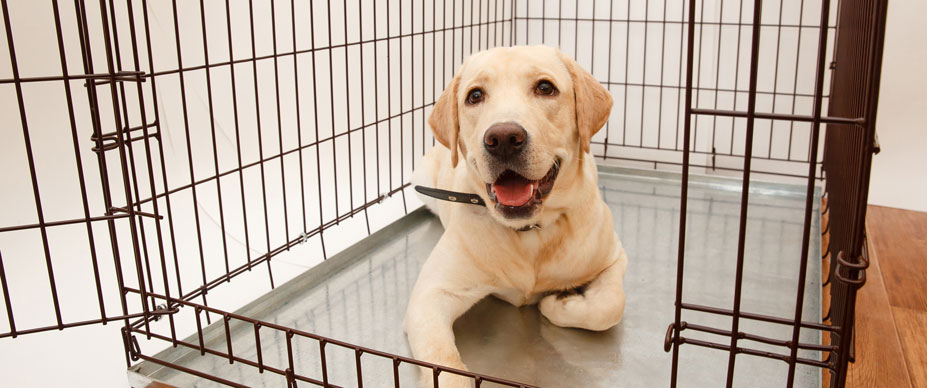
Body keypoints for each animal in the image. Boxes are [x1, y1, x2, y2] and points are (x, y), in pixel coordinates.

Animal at [406, 44, 632, 384]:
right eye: (475, 95)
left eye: (545, 88)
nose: (502, 139)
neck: (530, 233)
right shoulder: (430, 296)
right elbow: (444, 365)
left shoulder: (614, 257)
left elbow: (608, 306)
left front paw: (557, 302)